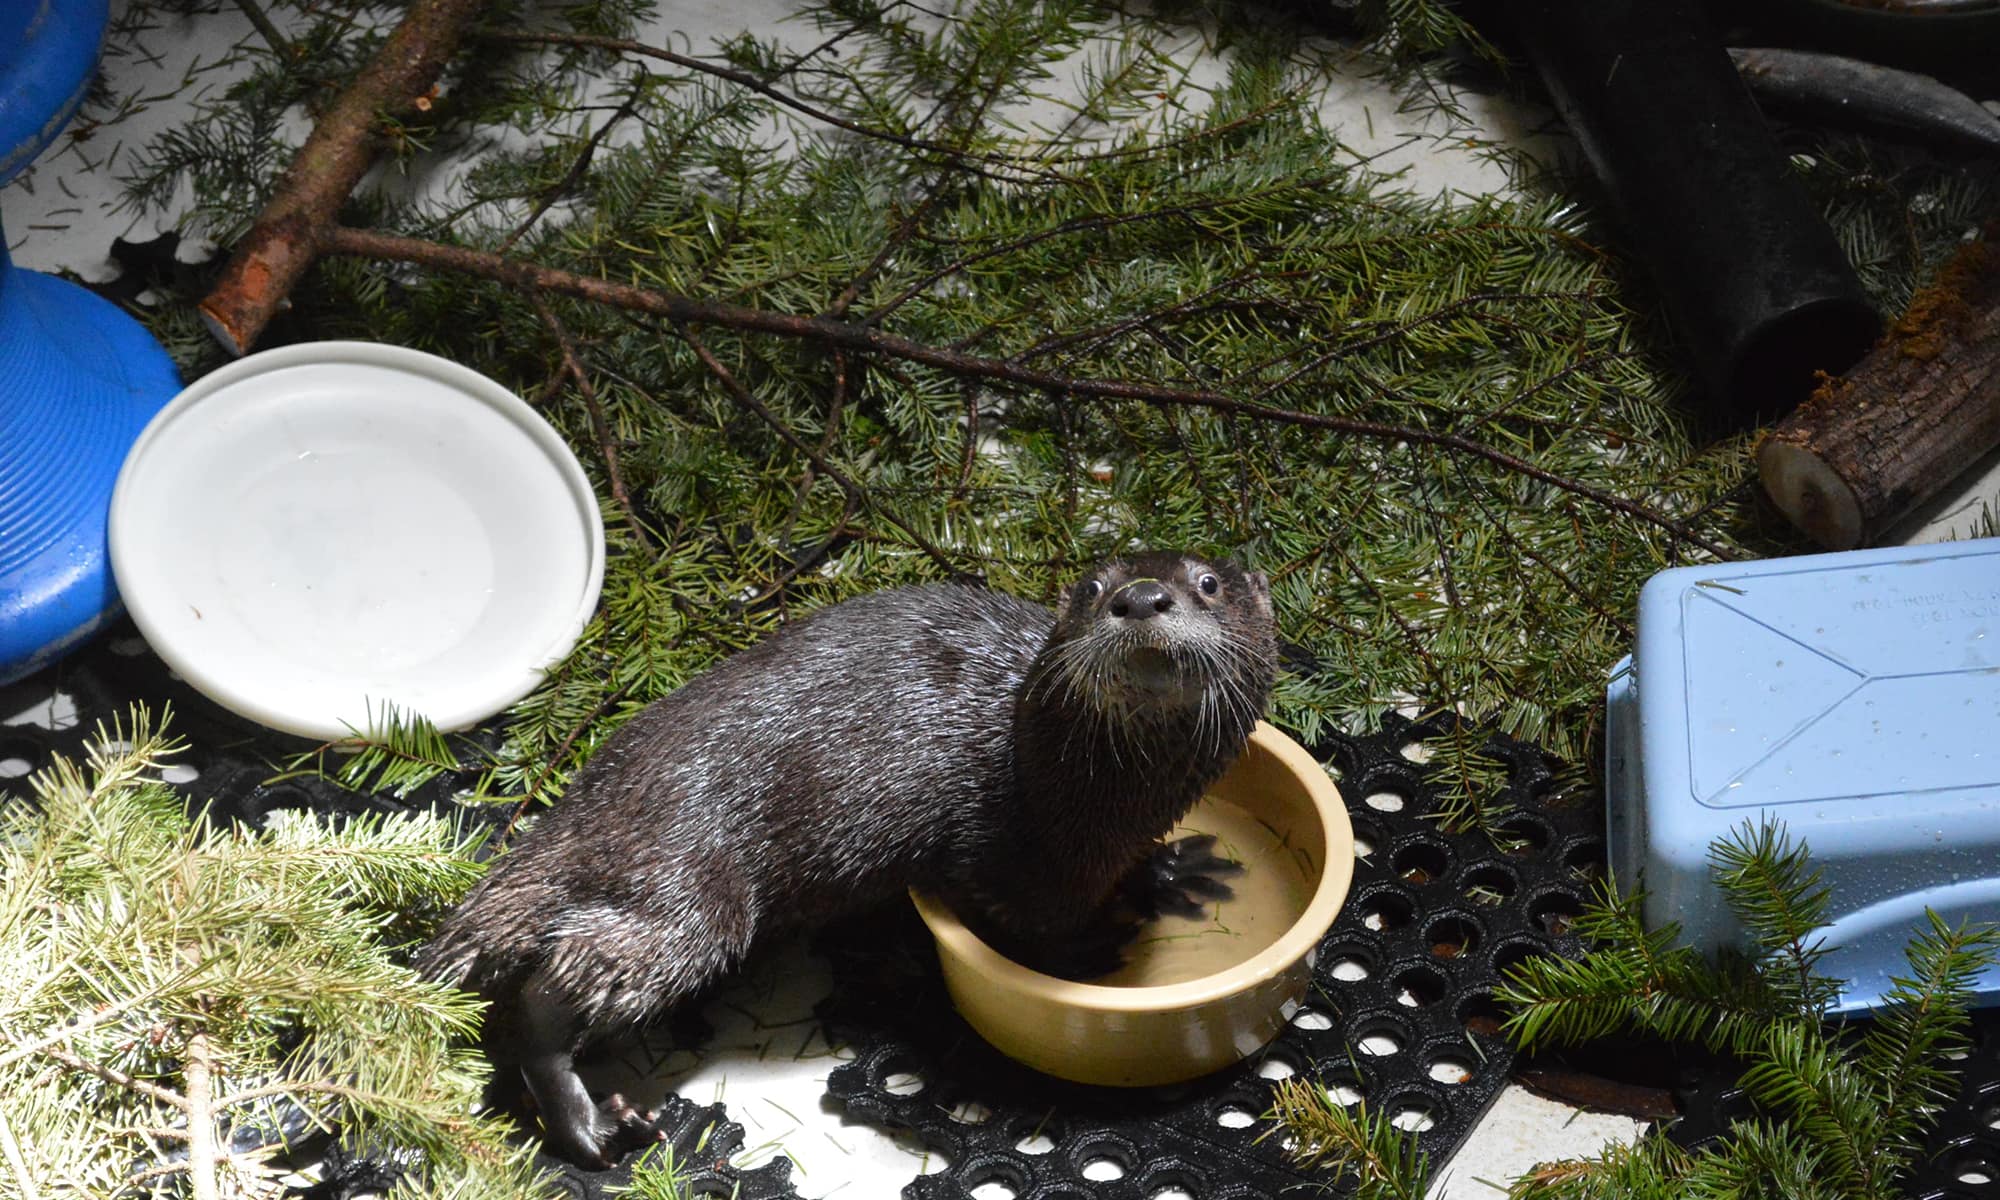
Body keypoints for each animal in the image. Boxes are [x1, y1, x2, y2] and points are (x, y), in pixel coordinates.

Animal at [418, 552, 1280, 1160]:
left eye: (1207, 583)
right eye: (1096, 588)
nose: (1142, 597)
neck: (1095, 801)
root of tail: (588, 802)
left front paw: (1173, 873)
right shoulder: (1012, 857)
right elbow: (1032, 929)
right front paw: (1098, 951)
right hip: (689, 892)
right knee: (545, 994)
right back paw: (591, 1124)